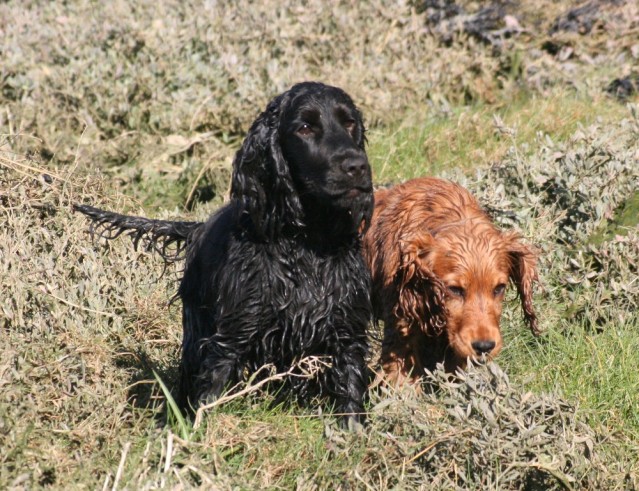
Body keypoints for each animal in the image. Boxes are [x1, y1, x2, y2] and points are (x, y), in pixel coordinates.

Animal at [75, 82, 376, 428]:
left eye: (349, 122)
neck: (306, 242)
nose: (357, 166)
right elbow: (209, 390)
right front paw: (195, 433)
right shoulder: (232, 334)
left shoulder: (347, 329)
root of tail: (199, 228)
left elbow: (350, 386)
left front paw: (352, 431)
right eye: (304, 127)